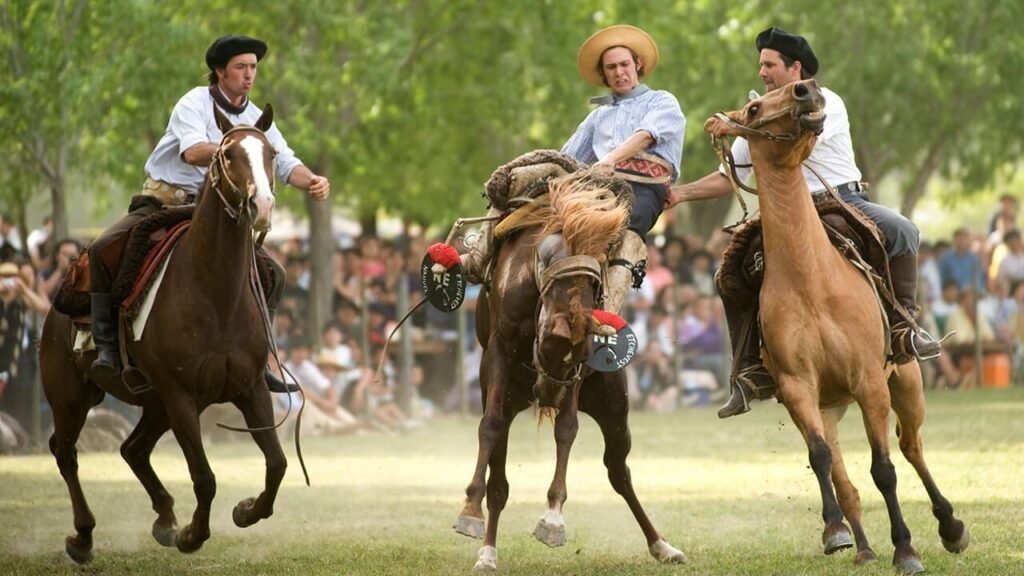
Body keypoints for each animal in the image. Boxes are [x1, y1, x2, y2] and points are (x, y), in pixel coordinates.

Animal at [38, 103, 288, 561]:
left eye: (271, 154)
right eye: (228, 155)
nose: (260, 204)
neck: (214, 292)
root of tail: (53, 312)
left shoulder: (250, 388)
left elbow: (277, 464)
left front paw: (245, 511)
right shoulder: (181, 396)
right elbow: (204, 476)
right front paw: (193, 535)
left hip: (153, 404)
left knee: (132, 449)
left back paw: (165, 518)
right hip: (71, 395)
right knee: (65, 453)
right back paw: (83, 537)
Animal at [452, 172, 684, 569]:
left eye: (573, 359)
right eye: (546, 349)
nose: (548, 393)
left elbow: (567, 428)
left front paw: (553, 518)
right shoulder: (499, 350)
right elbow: (490, 426)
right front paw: (469, 510)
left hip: (613, 406)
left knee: (619, 472)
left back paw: (661, 544)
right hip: (510, 395)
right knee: (499, 482)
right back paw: (487, 552)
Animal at [708, 79, 962, 569]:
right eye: (754, 108)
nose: (805, 91)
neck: (811, 279)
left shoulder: (869, 381)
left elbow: (884, 469)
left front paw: (906, 549)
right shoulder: (798, 387)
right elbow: (822, 459)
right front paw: (836, 532)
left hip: (905, 381)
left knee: (911, 447)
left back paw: (951, 526)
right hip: (830, 404)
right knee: (846, 479)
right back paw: (860, 546)